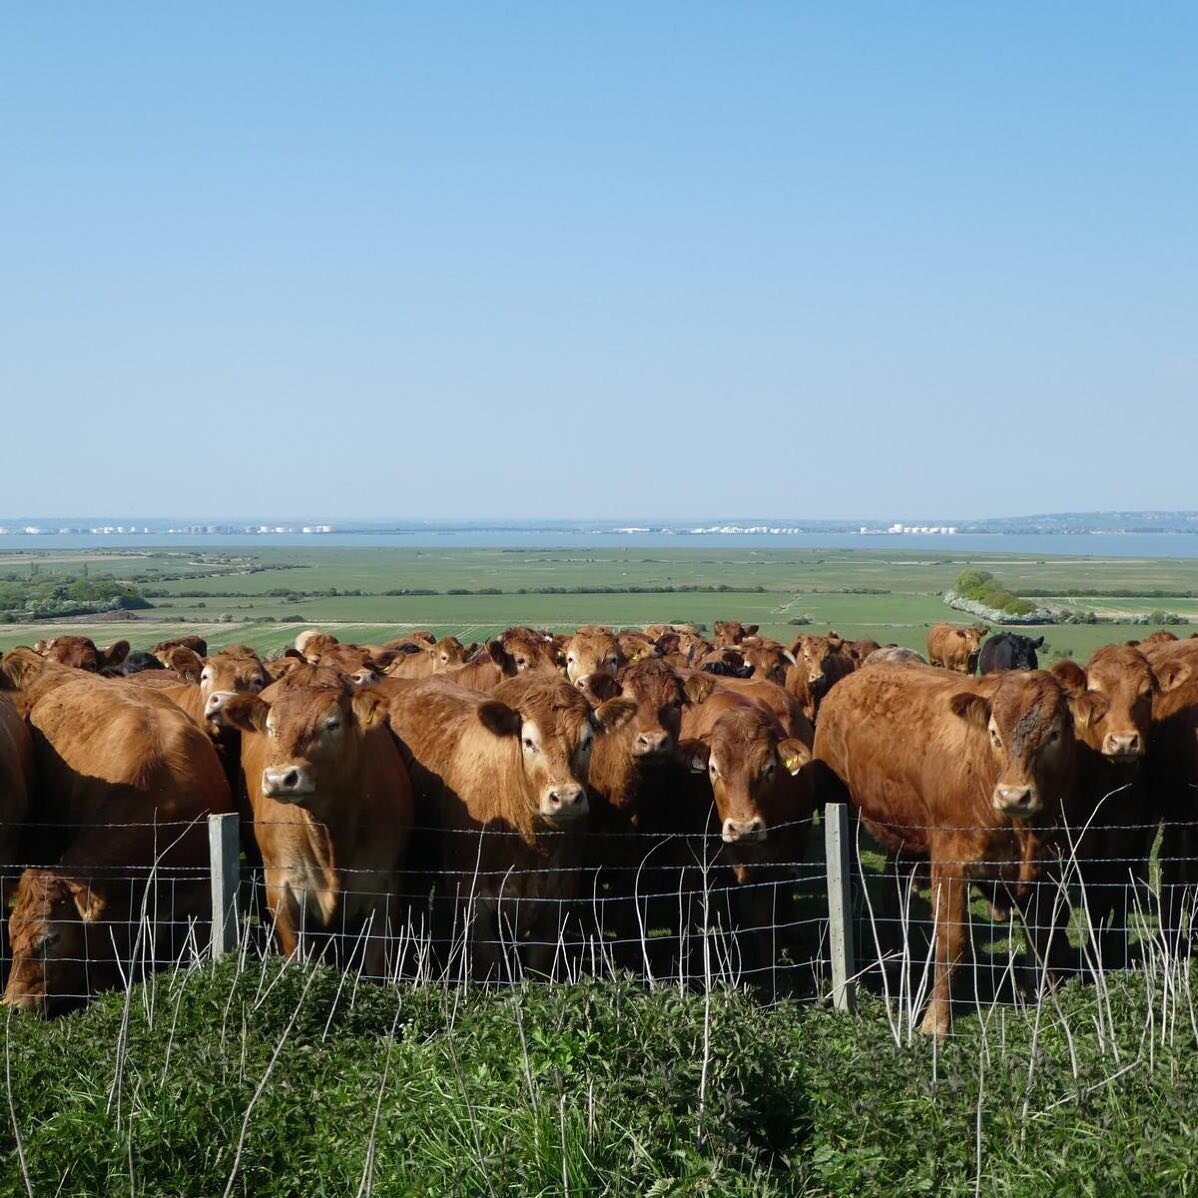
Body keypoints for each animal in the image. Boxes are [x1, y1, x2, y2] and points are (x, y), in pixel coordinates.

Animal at [388, 675, 642, 982]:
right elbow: (489, 964)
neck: (530, 842)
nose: (566, 797)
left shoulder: (558, 898)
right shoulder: (471, 897)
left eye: (588, 740)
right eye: (529, 741)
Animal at [814, 666, 1078, 1039]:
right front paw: (935, 1021)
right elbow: (952, 941)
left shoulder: (1047, 865)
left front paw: (1045, 993)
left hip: (906, 833)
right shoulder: (951, 864)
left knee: (894, 885)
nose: (1014, 795)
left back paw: (896, 952)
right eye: (994, 734)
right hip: (843, 810)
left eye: (1054, 734)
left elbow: (1042, 935)